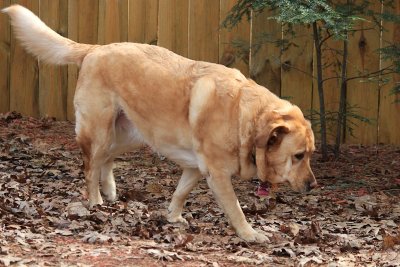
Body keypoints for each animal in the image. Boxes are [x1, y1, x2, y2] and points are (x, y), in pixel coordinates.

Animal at [3, 4, 316, 243]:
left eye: (310, 154)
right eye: (298, 156)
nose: (313, 186)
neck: (246, 116)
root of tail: (96, 48)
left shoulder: (194, 168)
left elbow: (180, 193)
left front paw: (173, 217)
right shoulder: (217, 174)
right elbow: (236, 209)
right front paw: (250, 234)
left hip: (133, 135)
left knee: (106, 159)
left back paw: (111, 191)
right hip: (101, 131)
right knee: (90, 167)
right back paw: (95, 202)